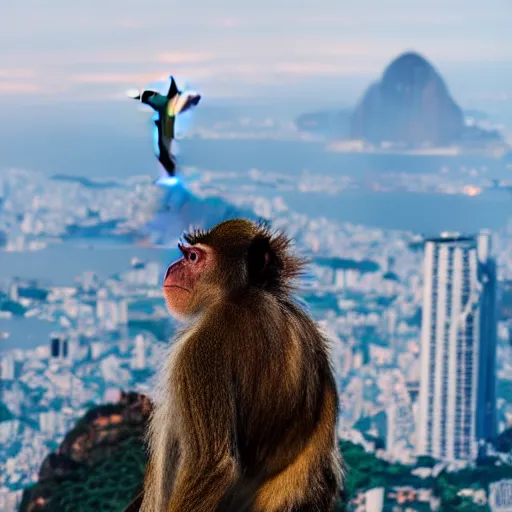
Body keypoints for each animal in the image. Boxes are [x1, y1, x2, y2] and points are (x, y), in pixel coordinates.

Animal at [138, 218, 342, 510]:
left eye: (192, 257)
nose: (171, 269)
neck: (244, 295)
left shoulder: (203, 349)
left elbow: (213, 465)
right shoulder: (311, 334)